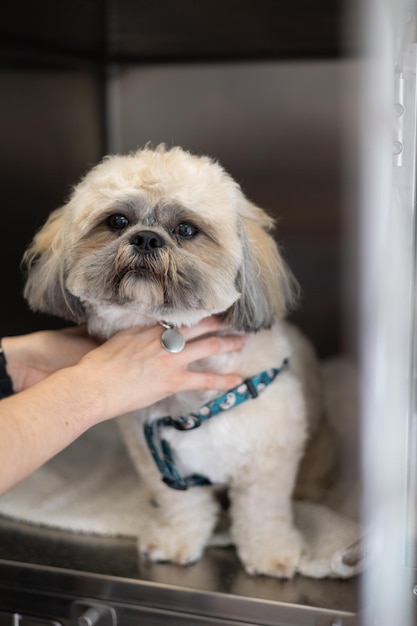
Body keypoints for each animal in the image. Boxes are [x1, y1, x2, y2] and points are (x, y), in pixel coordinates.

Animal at [23, 145, 332, 576]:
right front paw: (175, 541)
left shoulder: (268, 461)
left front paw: (270, 552)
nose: (146, 238)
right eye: (117, 221)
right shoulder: (159, 459)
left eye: (186, 229)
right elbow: (182, 507)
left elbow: (262, 512)